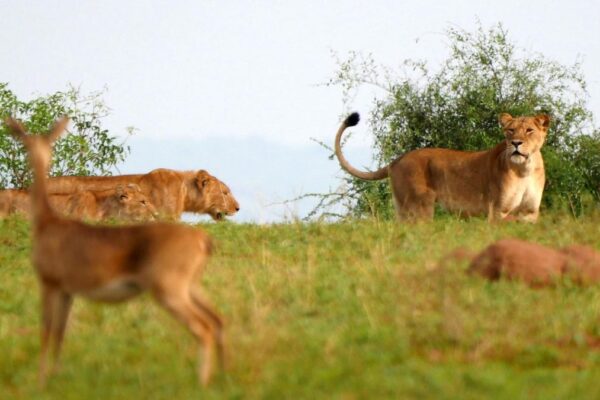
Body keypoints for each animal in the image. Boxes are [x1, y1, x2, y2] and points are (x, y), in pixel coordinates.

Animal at [336, 111, 552, 222]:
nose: (516, 143)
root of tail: (398, 159)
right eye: (510, 130)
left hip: (404, 209)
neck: (524, 170)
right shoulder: (498, 211)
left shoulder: (529, 213)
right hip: (419, 206)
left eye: (529, 130)